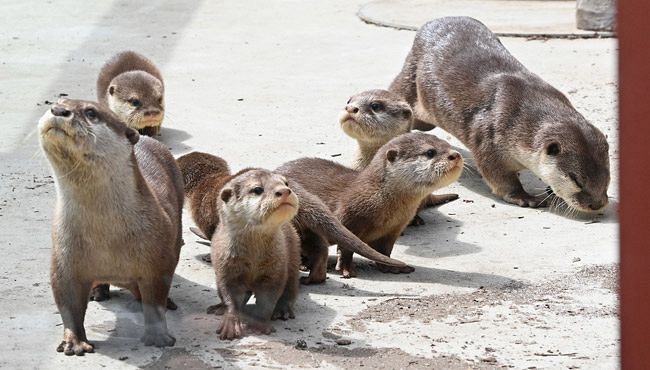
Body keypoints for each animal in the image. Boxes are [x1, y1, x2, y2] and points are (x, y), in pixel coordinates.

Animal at [38, 99, 182, 356]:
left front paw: (158, 337)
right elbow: (68, 302)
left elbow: (155, 300)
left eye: (91, 112)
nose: (58, 110)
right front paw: (74, 342)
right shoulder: (64, 257)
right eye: (58, 103)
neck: (107, 240)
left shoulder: (158, 261)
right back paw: (98, 292)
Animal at [176, 151, 410, 284]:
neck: (205, 186)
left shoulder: (206, 218)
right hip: (305, 227)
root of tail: (296, 193)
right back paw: (314, 277)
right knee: (319, 248)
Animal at [209, 169, 300, 340]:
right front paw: (231, 323)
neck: (254, 259)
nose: (284, 191)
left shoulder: (275, 270)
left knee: (291, 286)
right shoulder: (227, 268)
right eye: (257, 189)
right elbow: (231, 297)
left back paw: (282, 310)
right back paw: (218, 307)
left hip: (293, 255)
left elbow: (267, 300)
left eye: (286, 183)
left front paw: (259, 324)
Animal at [276, 132, 464, 278]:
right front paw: (345, 268)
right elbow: (346, 247)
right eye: (430, 152)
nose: (455, 155)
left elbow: (385, 250)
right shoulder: (347, 217)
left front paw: (391, 266)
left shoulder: (395, 229)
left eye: (449, 145)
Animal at [388, 17, 612, 212]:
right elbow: (499, 175)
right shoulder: (490, 136)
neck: (521, 117)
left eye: (608, 178)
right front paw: (525, 197)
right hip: (410, 78)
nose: (596, 204)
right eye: (577, 180)